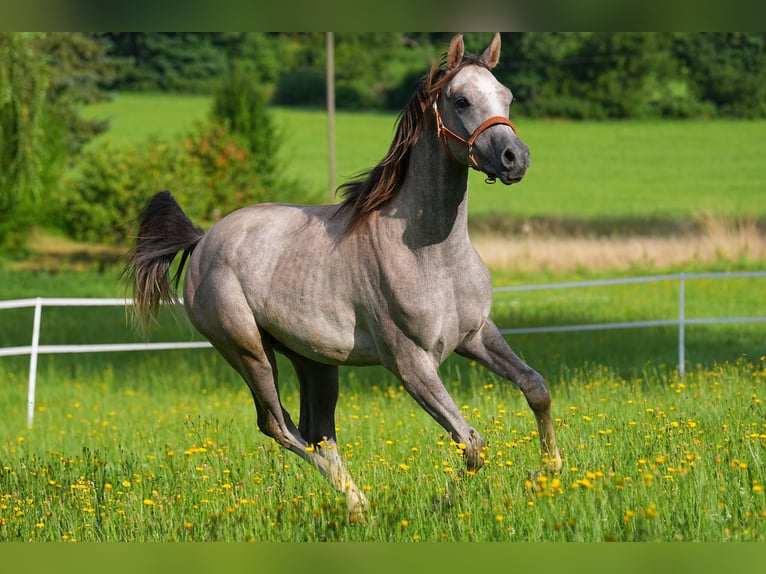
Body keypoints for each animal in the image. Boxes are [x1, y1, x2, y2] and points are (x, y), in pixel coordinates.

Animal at [126, 35, 564, 520]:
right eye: (461, 100)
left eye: (506, 95)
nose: (515, 157)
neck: (431, 255)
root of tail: (203, 239)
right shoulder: (410, 363)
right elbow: (471, 443)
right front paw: (440, 504)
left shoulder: (476, 336)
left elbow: (535, 388)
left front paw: (547, 474)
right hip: (248, 351)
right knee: (281, 427)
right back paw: (358, 504)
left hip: (313, 360)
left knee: (318, 432)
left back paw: (359, 507)